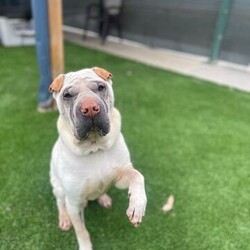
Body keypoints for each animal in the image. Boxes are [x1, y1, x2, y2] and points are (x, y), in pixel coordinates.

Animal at [49, 67, 146, 250]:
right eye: (67, 95)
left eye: (101, 87)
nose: (90, 108)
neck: (94, 149)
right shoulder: (73, 203)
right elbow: (81, 230)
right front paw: (85, 245)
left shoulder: (121, 176)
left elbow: (137, 175)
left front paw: (137, 205)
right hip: (58, 188)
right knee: (59, 203)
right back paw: (64, 219)